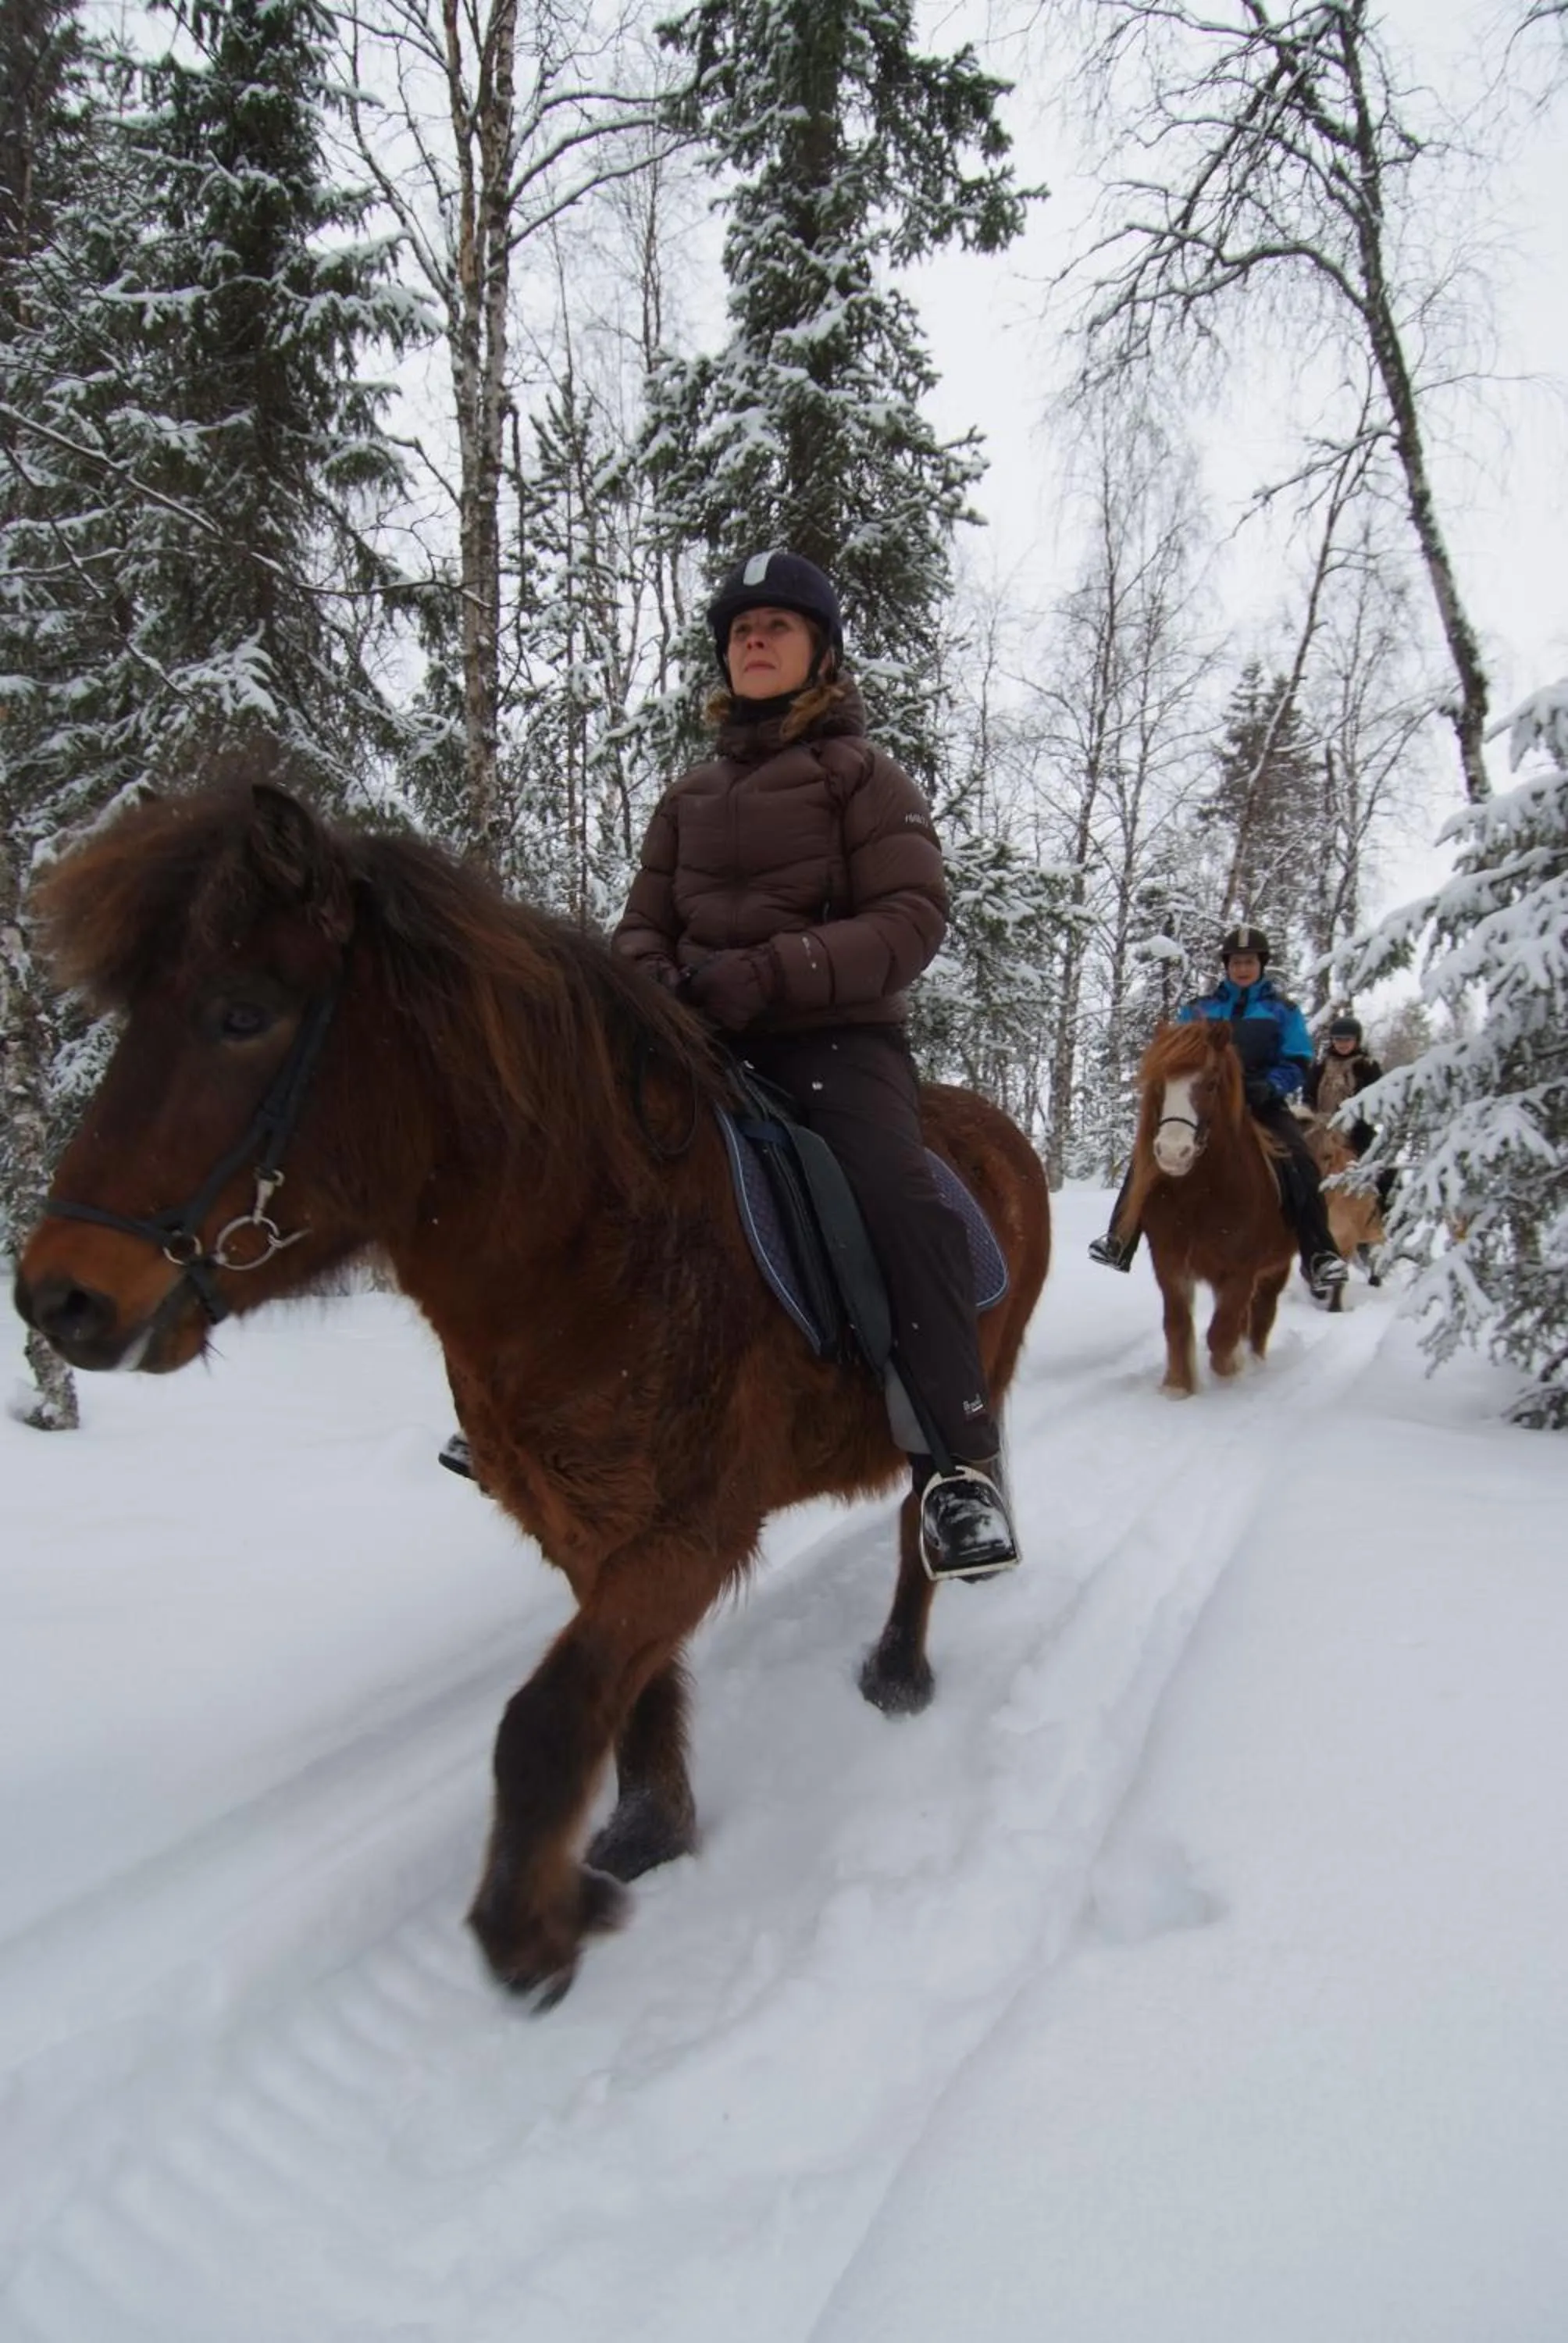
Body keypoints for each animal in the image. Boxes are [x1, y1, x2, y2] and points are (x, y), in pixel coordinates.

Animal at [13, 763, 1049, 2004]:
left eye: (241, 1014)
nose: (57, 1297)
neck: (596, 1258)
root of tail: (1000, 1130)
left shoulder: (693, 1533)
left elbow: (543, 1725)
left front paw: (536, 1927)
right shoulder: (585, 1530)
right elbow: (626, 1695)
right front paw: (649, 1833)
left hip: (962, 1394)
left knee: (923, 1518)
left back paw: (901, 1664)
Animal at [1118, 1018, 1294, 1397]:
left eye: (1211, 1084)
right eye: (1159, 1083)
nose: (1173, 1152)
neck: (1198, 1196)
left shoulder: (1240, 1272)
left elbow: (1222, 1334)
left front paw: (1229, 1375)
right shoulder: (1170, 1264)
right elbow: (1177, 1325)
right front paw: (1177, 1385)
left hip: (1277, 1268)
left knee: (1261, 1315)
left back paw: (1254, 1362)